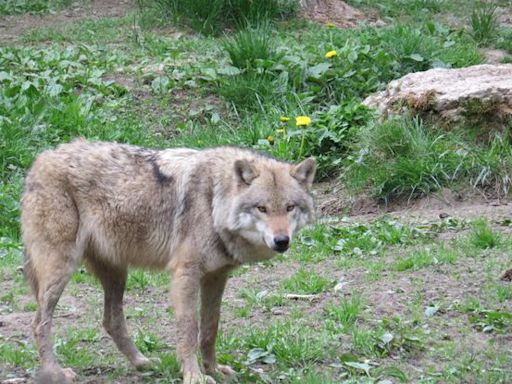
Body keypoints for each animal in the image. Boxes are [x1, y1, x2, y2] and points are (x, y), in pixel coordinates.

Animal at [22, 140, 316, 382]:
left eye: (289, 207)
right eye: (262, 208)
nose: (281, 240)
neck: (213, 201)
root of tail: (42, 158)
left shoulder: (217, 277)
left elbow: (210, 328)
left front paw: (213, 369)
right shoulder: (185, 274)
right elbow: (189, 329)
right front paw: (194, 376)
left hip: (117, 274)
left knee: (111, 321)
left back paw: (142, 363)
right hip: (61, 271)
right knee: (38, 323)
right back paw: (55, 372)